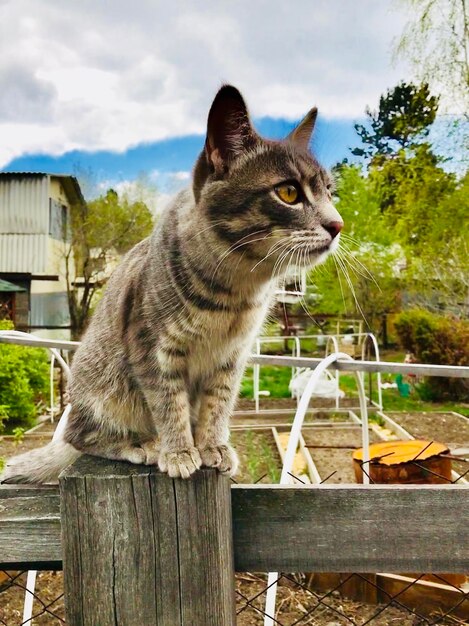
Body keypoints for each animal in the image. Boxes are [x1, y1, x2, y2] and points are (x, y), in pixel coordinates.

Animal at [1, 84, 342, 482]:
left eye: (329, 193)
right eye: (288, 192)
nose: (338, 225)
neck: (237, 292)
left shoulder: (231, 359)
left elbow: (217, 405)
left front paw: (212, 446)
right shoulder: (153, 349)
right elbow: (168, 404)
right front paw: (178, 451)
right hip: (104, 388)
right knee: (81, 436)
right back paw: (142, 446)